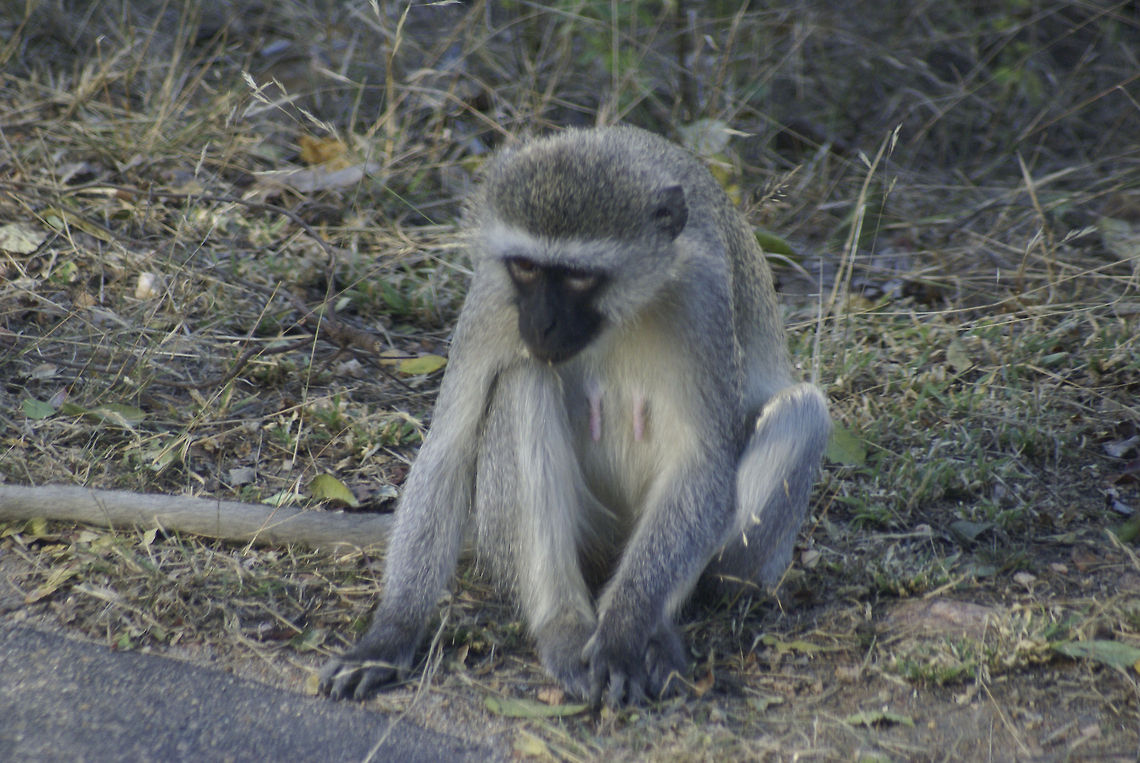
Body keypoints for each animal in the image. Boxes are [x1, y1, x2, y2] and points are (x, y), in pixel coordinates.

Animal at [318, 125, 831, 707]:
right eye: (525, 267)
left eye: (580, 277)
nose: (541, 324)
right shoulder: (493, 297)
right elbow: (446, 450)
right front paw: (391, 634)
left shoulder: (703, 298)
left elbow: (702, 465)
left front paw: (624, 634)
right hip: (559, 531)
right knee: (523, 382)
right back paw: (562, 627)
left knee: (802, 412)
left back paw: (655, 633)